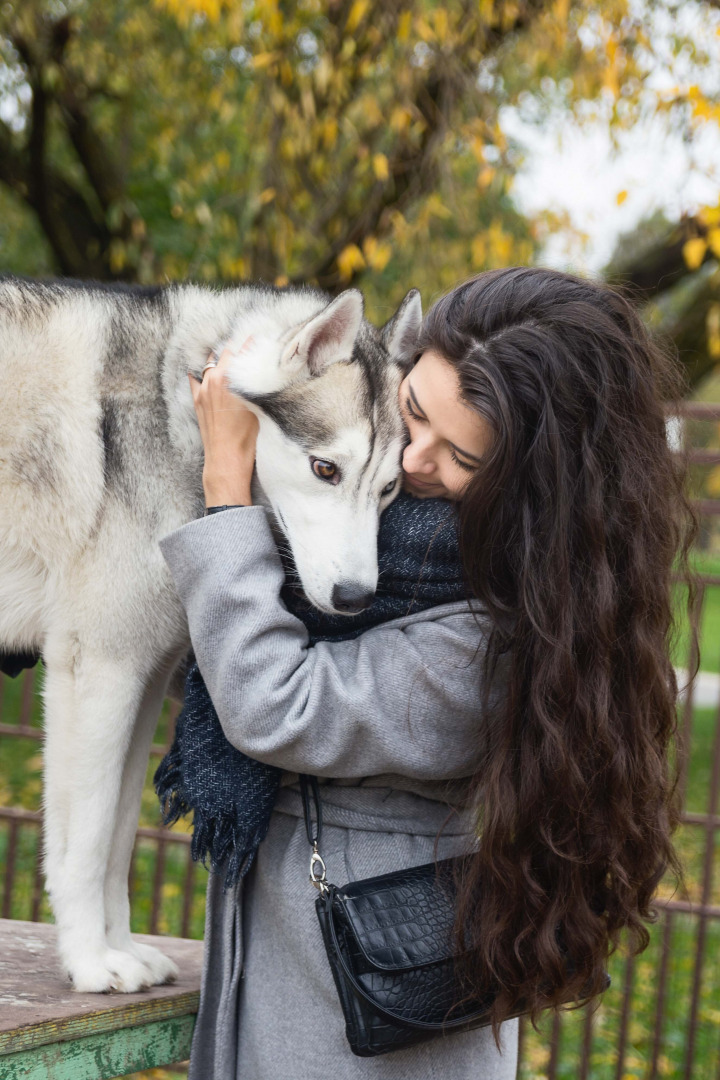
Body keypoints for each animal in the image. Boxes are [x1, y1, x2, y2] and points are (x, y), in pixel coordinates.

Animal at [1, 274, 423, 989]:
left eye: (389, 487)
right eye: (326, 470)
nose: (355, 598)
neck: (178, 414)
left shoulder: (142, 681)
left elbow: (118, 839)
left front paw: (122, 949)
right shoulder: (99, 668)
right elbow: (85, 844)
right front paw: (90, 964)